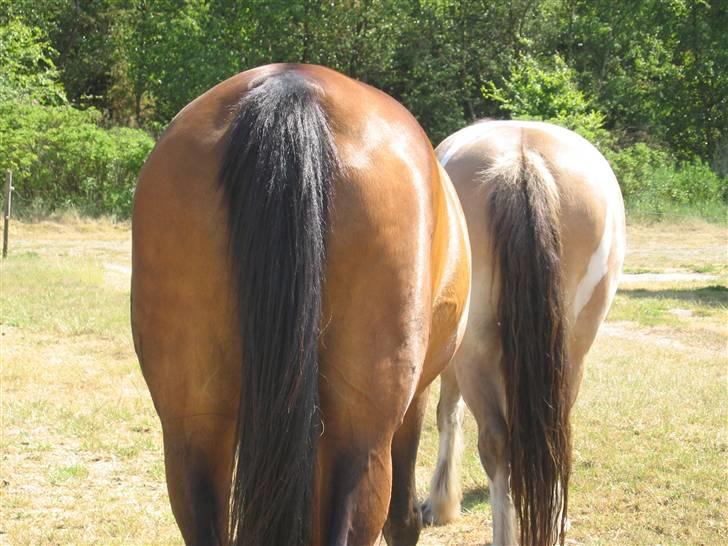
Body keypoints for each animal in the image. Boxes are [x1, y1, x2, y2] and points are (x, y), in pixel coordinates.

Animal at [420, 120, 624, 544]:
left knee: (495, 443)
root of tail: (522, 160)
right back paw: (555, 518)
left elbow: (447, 413)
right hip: (571, 352)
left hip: (475, 351)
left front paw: (439, 503)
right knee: (554, 433)